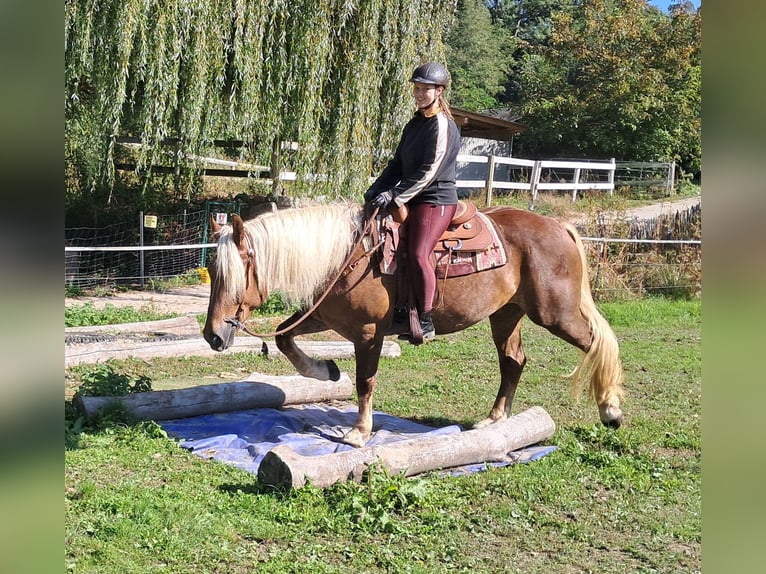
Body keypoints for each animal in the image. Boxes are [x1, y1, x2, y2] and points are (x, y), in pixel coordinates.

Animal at [204, 204, 624, 450]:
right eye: (211, 270)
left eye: (234, 274)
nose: (212, 335)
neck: (349, 256)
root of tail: (556, 225)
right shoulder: (324, 316)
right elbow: (284, 337)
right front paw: (325, 370)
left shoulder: (368, 332)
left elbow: (365, 381)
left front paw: (359, 432)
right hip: (506, 314)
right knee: (514, 361)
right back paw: (494, 418)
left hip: (555, 314)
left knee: (598, 344)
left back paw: (611, 411)